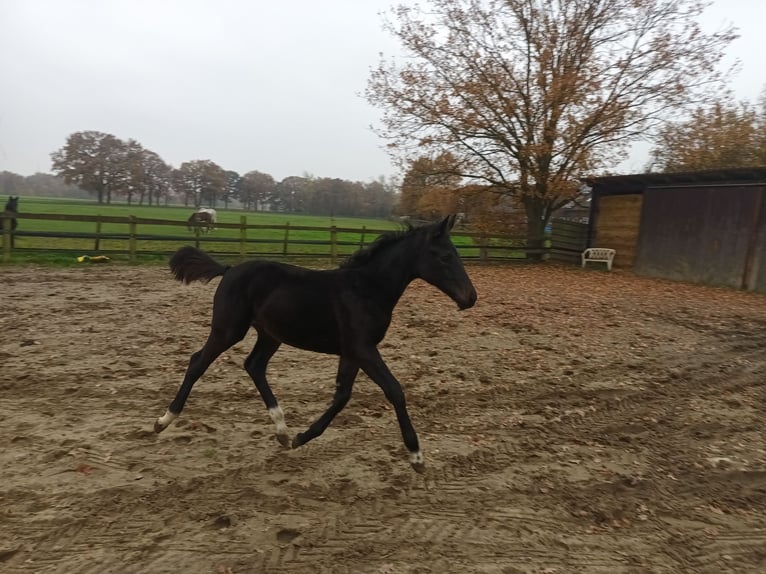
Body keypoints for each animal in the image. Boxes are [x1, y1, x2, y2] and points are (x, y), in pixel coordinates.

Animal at [154, 215, 477, 473]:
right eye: (445, 256)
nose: (470, 298)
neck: (367, 290)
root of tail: (230, 268)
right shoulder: (363, 349)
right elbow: (394, 391)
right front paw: (416, 456)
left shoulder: (352, 352)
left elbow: (342, 395)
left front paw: (301, 437)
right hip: (229, 329)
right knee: (198, 362)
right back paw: (164, 420)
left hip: (270, 335)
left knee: (254, 366)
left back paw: (282, 431)